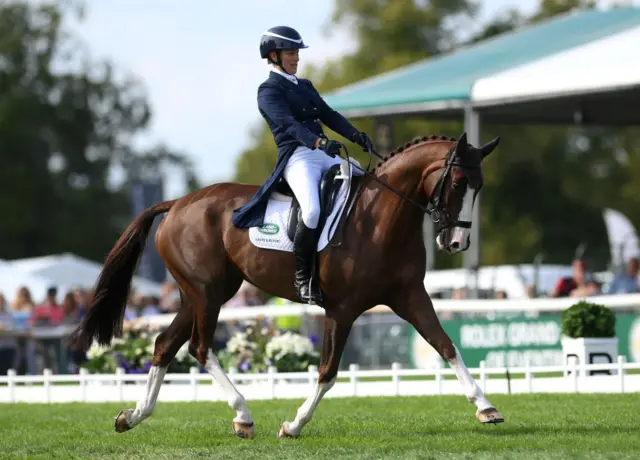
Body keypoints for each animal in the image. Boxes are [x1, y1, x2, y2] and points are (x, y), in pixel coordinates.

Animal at [67, 131, 503, 439]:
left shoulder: (410, 296)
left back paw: (133, 416)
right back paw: (243, 416)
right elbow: (327, 371)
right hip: (207, 295)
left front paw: (486, 408)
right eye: (458, 181)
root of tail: (176, 204)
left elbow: (446, 346)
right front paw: (293, 425)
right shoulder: (342, 309)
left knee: (164, 345)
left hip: (202, 294)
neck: (380, 219)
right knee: (200, 347)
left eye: (480, 186)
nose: (457, 243)